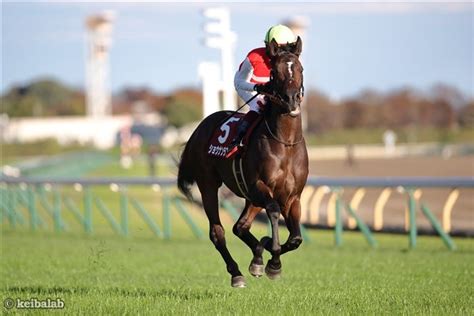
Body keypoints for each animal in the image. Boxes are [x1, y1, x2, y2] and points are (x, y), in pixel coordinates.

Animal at [177, 37, 308, 286]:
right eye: (275, 72)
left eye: (300, 68)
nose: (291, 99)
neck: (285, 143)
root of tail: (199, 128)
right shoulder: (260, 186)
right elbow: (274, 212)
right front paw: (273, 262)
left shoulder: (293, 196)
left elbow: (295, 238)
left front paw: (266, 251)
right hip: (209, 185)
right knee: (218, 232)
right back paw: (237, 273)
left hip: (250, 198)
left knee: (240, 227)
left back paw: (257, 255)